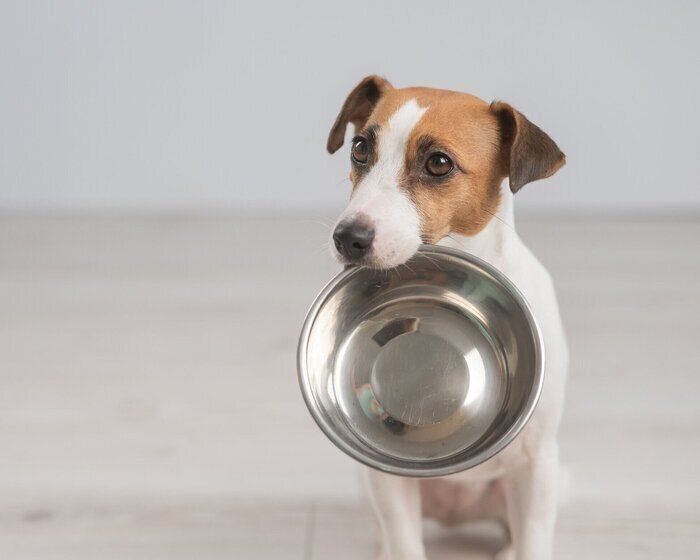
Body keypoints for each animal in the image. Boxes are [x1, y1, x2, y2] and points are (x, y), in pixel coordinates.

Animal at [328, 75, 568, 560]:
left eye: (439, 162)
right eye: (360, 148)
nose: (347, 238)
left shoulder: (536, 465)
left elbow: (534, 542)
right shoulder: (389, 482)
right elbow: (404, 545)